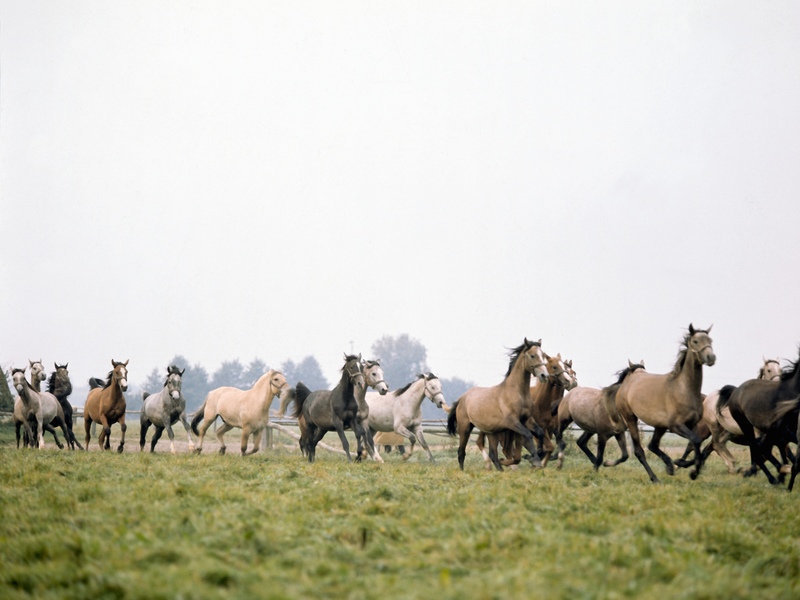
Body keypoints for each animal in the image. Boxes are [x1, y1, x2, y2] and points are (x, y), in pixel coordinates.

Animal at [608, 324, 716, 482]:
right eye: (695, 341)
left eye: (710, 340)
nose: (711, 357)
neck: (683, 389)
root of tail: (628, 381)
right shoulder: (676, 426)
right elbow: (696, 442)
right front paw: (691, 470)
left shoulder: (693, 425)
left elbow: (695, 444)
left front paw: (683, 464)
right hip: (631, 418)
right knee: (640, 450)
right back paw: (655, 478)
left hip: (660, 426)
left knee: (652, 445)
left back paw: (669, 466)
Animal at [720, 352, 800, 488]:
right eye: (768, 370)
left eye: (780, 370)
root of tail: (736, 390)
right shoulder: (777, 433)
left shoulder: (780, 435)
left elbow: (783, 452)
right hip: (745, 425)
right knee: (755, 449)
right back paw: (772, 478)